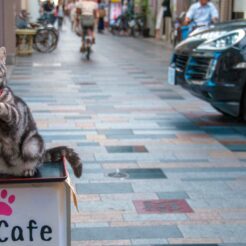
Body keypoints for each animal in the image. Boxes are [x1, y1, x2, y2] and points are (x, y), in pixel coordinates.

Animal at [0, 46, 82, 177]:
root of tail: (12, 172)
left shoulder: (15, 119)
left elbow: (7, 109)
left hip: (32, 143)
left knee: (36, 161)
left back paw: (29, 169)